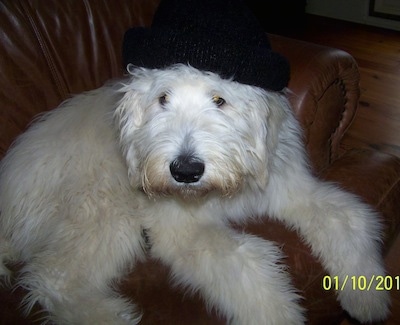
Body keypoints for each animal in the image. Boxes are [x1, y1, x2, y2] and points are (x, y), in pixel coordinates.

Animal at [0, 63, 390, 322]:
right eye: (162, 99)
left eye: (220, 99)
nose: (185, 171)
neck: (224, 188)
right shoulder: (182, 228)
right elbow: (246, 265)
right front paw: (279, 313)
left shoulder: (290, 188)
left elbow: (348, 217)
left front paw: (366, 297)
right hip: (104, 208)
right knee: (53, 277)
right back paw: (110, 315)